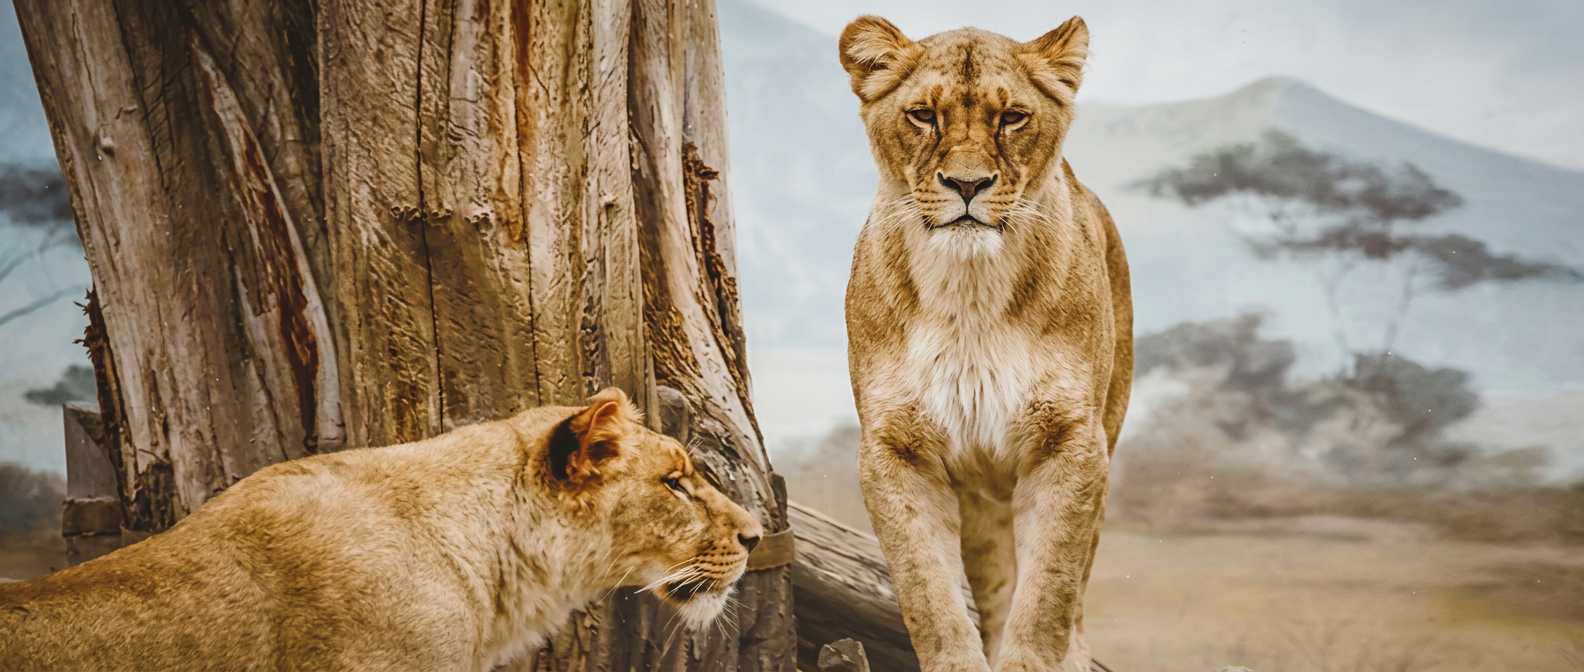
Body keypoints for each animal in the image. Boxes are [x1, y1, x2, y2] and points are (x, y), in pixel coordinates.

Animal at [839, 16, 1132, 672]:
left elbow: (1049, 592)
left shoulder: (1071, 442)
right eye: (924, 115)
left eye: (1013, 117)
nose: (967, 184)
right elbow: (928, 591)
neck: (968, 290)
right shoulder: (895, 450)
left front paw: (1038, 657)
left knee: (1076, 585)